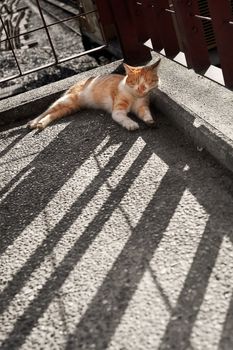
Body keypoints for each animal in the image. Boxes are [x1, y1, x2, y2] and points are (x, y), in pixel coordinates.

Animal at [27, 58, 160, 131]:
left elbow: (145, 113)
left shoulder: (142, 106)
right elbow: (124, 118)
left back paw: (41, 124)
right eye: (135, 81)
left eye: (148, 81)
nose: (141, 88)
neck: (135, 96)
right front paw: (131, 124)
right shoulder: (118, 111)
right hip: (66, 100)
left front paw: (150, 121)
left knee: (53, 114)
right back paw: (33, 122)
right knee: (47, 111)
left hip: (71, 108)